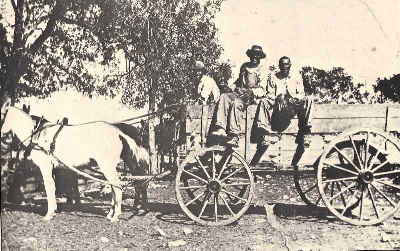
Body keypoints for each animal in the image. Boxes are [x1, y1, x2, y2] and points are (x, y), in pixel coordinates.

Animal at [0, 100, 149, 222]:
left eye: (1, 116)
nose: (11, 145)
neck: (38, 134)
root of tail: (118, 132)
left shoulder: (45, 166)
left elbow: (49, 187)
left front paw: (49, 214)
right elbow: (56, 186)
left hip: (107, 166)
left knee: (117, 187)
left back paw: (116, 216)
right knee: (115, 187)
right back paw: (110, 213)